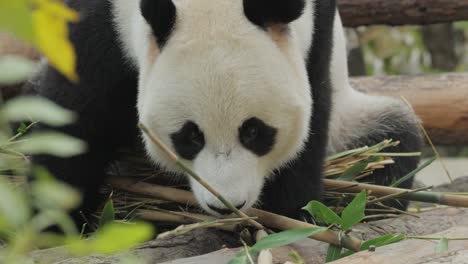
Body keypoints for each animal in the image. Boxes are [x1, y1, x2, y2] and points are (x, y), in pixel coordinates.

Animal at [23, 0, 422, 222]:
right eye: (188, 137)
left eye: (255, 132)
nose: (227, 205)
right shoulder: (103, 23)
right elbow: (75, 118)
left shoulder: (316, 36)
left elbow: (312, 121)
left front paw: (291, 215)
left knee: (394, 145)